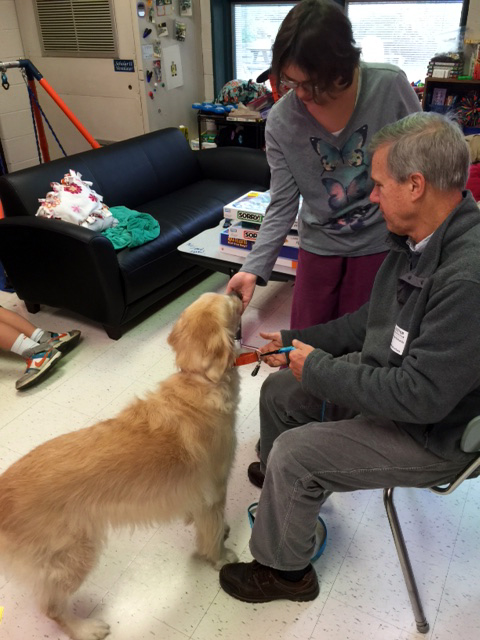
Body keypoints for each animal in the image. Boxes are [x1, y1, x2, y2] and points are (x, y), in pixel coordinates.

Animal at [0, 292, 242, 636]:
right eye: (229, 304)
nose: (237, 292)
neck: (199, 382)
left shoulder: (200, 497)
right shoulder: (215, 493)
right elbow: (212, 533)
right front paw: (220, 557)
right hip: (73, 556)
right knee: (52, 609)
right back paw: (86, 629)